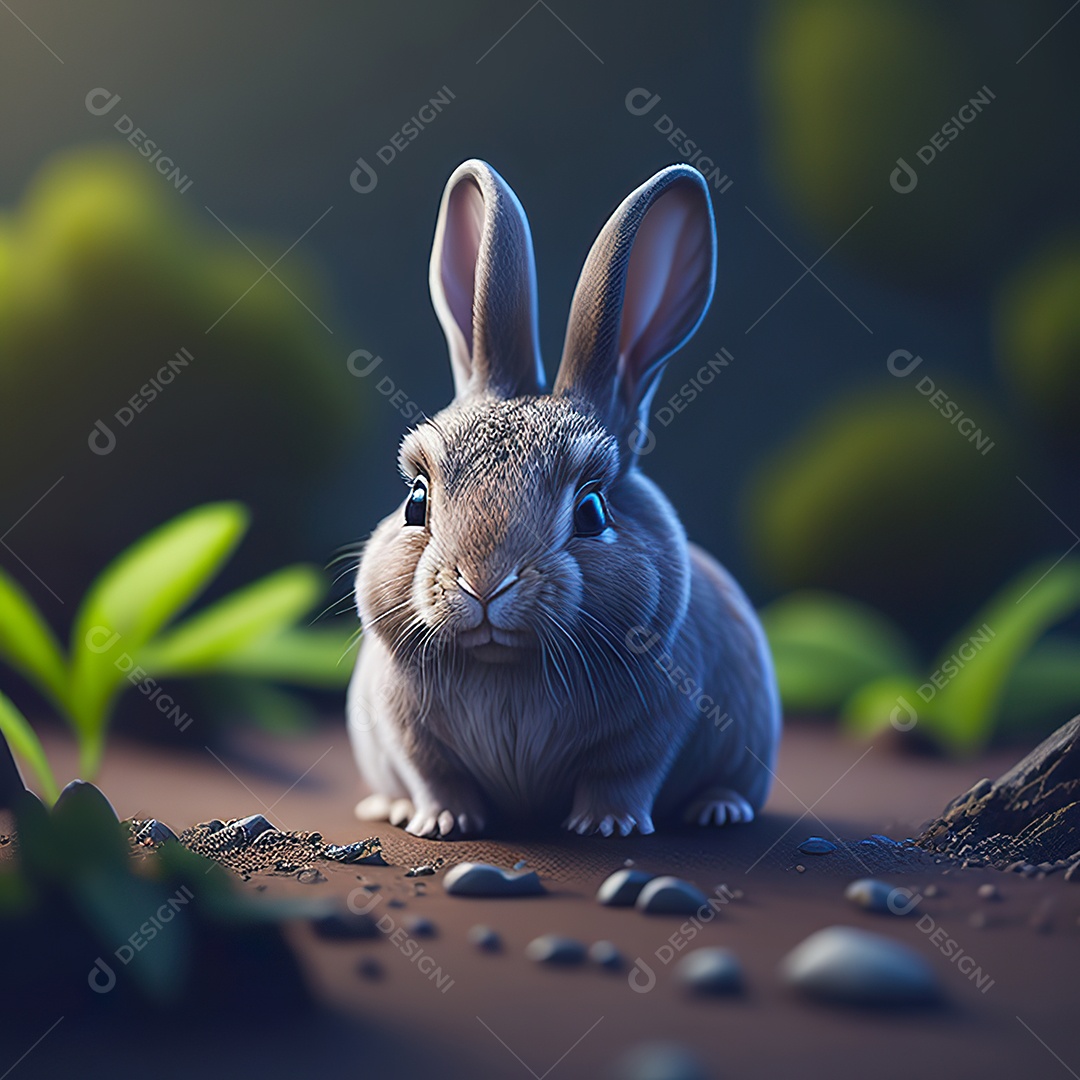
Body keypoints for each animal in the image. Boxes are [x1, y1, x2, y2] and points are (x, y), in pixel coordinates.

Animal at [347, 158, 781, 839]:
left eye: (592, 512)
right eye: (417, 501)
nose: (484, 582)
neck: (507, 668)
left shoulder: (652, 730)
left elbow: (621, 777)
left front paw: (607, 828)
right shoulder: (410, 736)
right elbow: (435, 776)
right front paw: (444, 823)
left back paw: (718, 809)